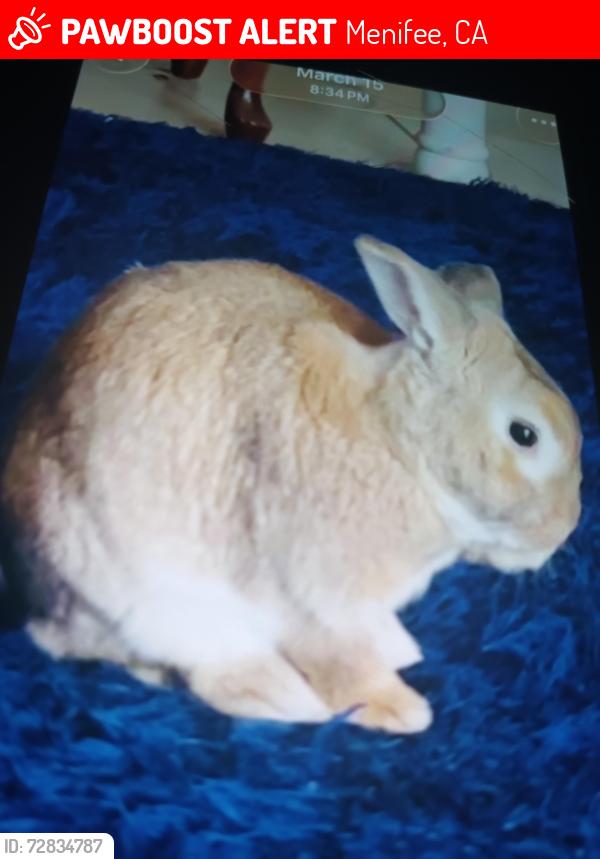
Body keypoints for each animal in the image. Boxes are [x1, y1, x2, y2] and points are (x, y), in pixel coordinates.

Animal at [0, 235, 582, 734]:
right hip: (154, 601)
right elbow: (344, 665)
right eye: (525, 434)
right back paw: (286, 699)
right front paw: (401, 710)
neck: (398, 442)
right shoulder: (314, 600)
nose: (562, 531)